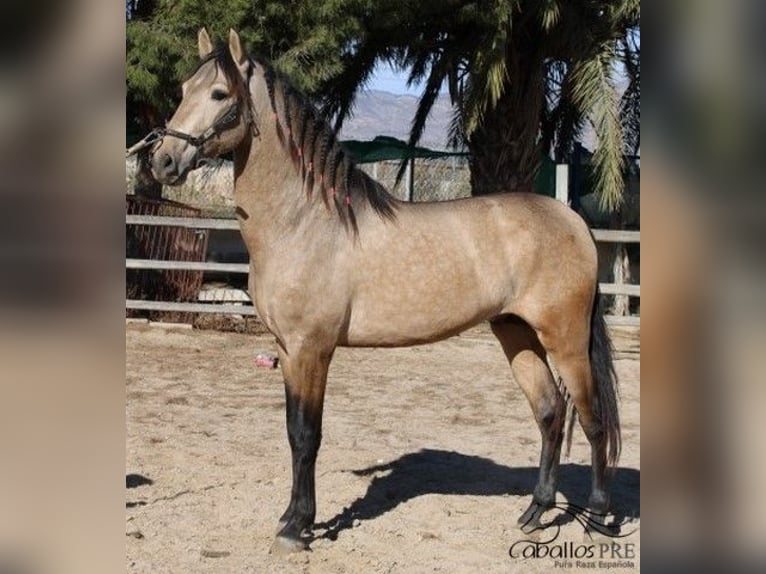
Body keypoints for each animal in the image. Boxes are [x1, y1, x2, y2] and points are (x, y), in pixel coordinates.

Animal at [147, 29, 620, 556]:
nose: (162, 161)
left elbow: (307, 435)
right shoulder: (287, 351)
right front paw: (291, 517)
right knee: (550, 413)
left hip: (566, 340)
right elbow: (292, 433)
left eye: (218, 94)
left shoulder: (312, 350)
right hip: (515, 332)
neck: (304, 222)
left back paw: (600, 518)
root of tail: (572, 220)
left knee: (592, 419)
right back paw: (535, 513)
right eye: (184, 88)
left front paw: (298, 527)